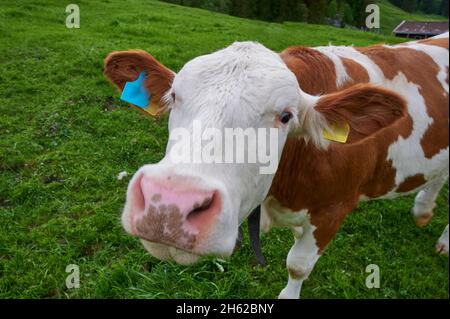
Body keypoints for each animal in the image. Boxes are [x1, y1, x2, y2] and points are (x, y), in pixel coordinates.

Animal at [103, 31, 450, 298]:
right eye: (174, 96)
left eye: (285, 116)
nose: (170, 205)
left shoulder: (333, 210)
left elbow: (297, 265)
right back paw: (423, 210)